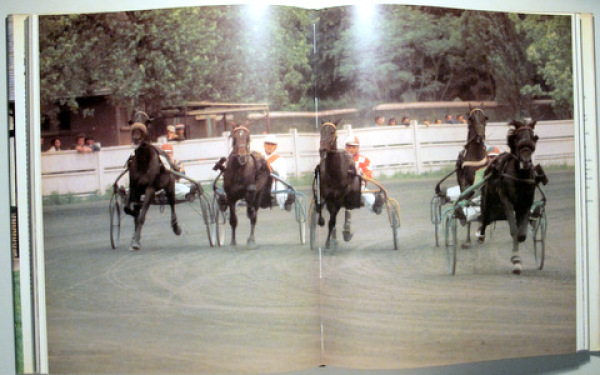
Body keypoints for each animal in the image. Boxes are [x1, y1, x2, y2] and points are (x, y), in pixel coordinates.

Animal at [120, 113, 179, 251]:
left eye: (146, 122)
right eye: (132, 122)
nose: (136, 135)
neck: (143, 161)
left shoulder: (150, 189)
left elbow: (141, 216)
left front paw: (136, 242)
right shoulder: (134, 188)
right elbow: (128, 209)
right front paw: (134, 239)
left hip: (170, 186)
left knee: (172, 203)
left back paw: (175, 226)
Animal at [476, 119, 548, 274]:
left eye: (533, 138)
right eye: (518, 138)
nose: (526, 162)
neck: (520, 176)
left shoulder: (525, 204)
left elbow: (521, 234)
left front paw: (517, 260)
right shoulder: (507, 202)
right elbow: (514, 230)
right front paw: (515, 259)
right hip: (487, 200)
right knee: (485, 219)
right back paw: (480, 235)